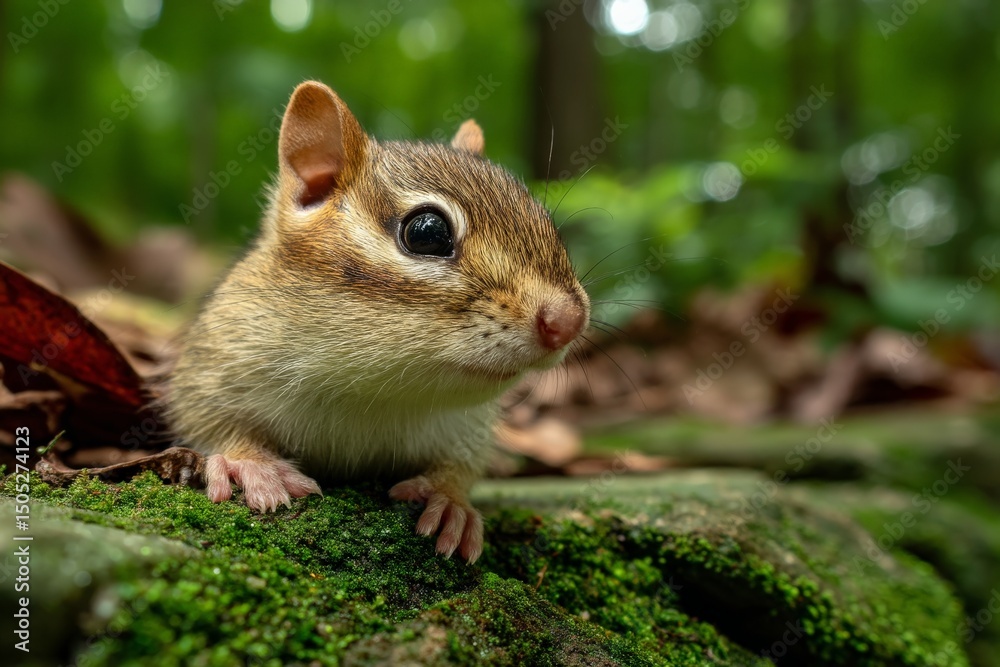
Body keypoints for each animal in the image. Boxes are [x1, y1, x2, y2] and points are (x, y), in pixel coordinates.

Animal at [166, 81, 589, 564]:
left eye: (542, 216)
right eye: (427, 232)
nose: (570, 321)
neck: (376, 389)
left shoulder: (468, 425)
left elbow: (462, 465)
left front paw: (450, 501)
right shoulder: (216, 360)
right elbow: (210, 420)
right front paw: (253, 466)